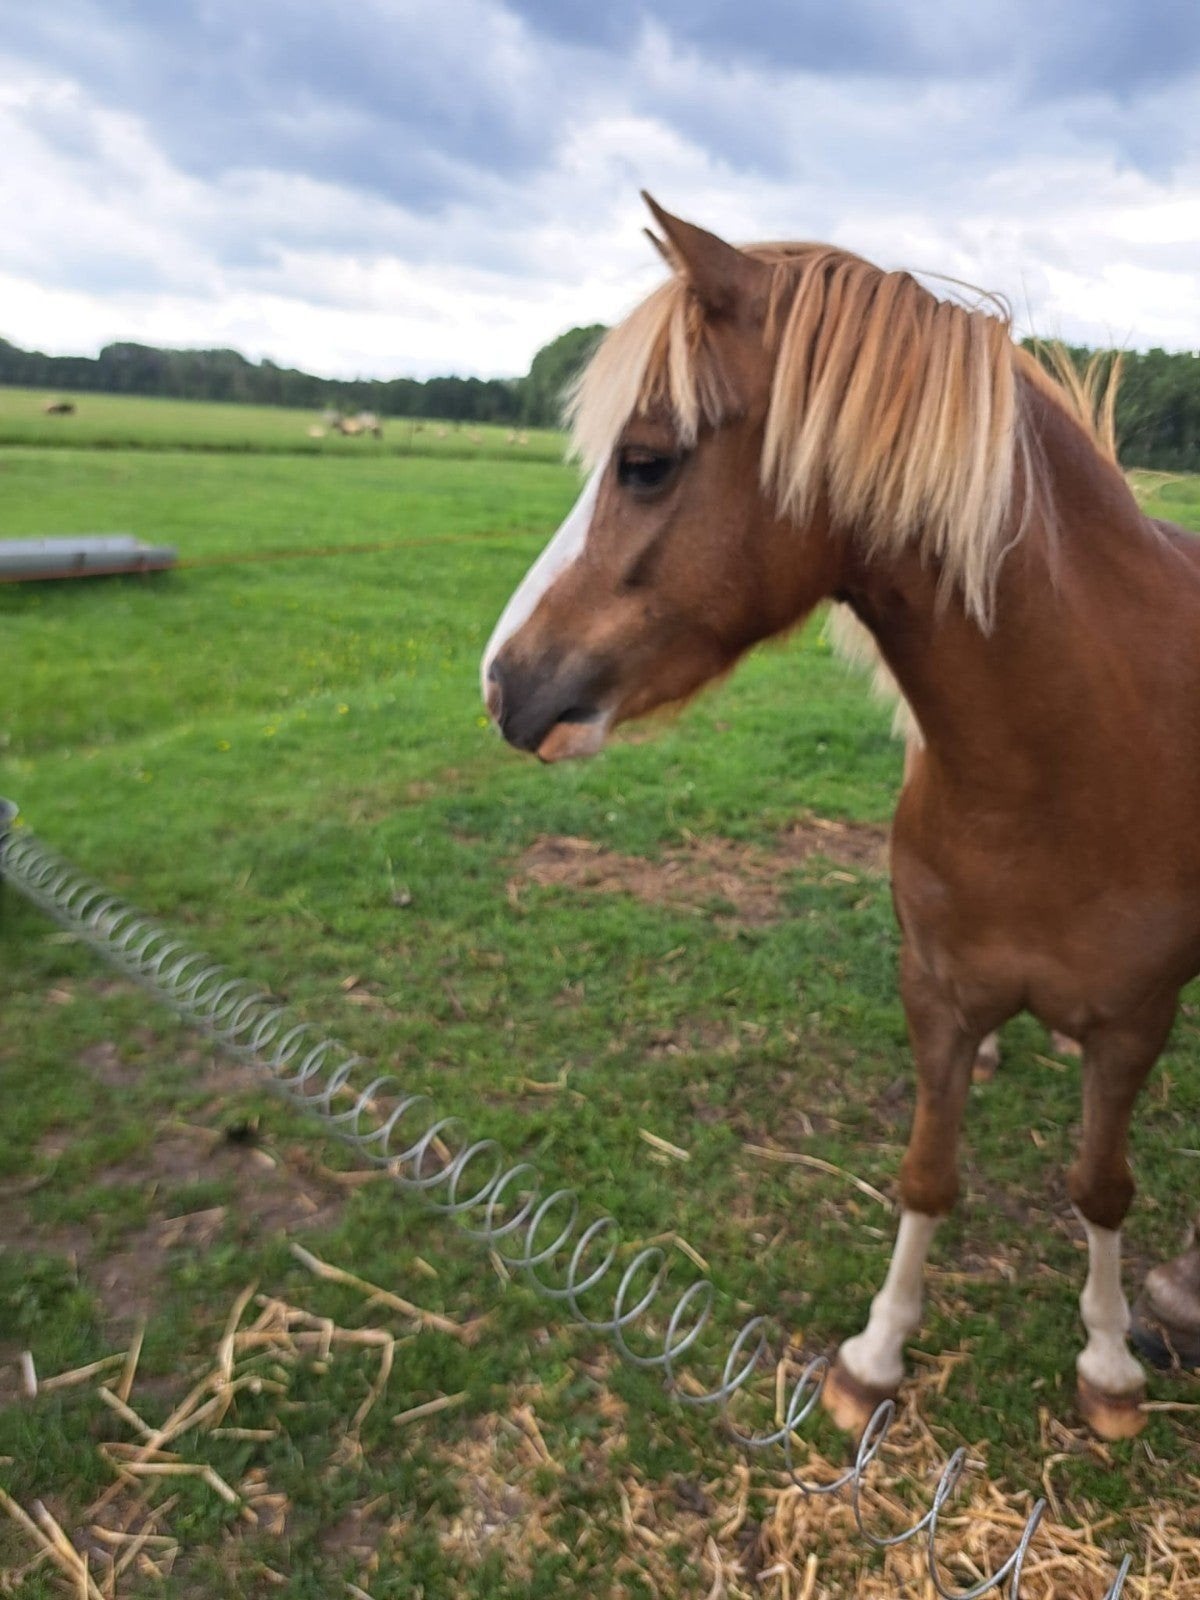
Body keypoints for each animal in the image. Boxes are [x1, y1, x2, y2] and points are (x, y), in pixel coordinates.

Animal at [481, 194, 1200, 1440]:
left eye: (647, 462)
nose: (501, 682)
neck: (1067, 769)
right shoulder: (936, 993)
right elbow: (926, 1174)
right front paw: (875, 1353)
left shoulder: (1135, 1019)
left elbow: (1100, 1186)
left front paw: (1110, 1361)